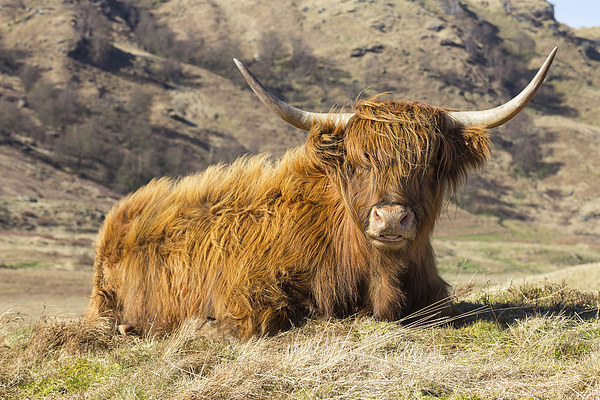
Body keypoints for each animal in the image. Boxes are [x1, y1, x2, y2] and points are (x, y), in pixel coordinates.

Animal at [84, 49, 556, 338]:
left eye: (428, 166)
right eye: (358, 163)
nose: (390, 218)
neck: (377, 273)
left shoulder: (433, 297)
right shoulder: (245, 291)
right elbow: (257, 321)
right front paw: (199, 326)